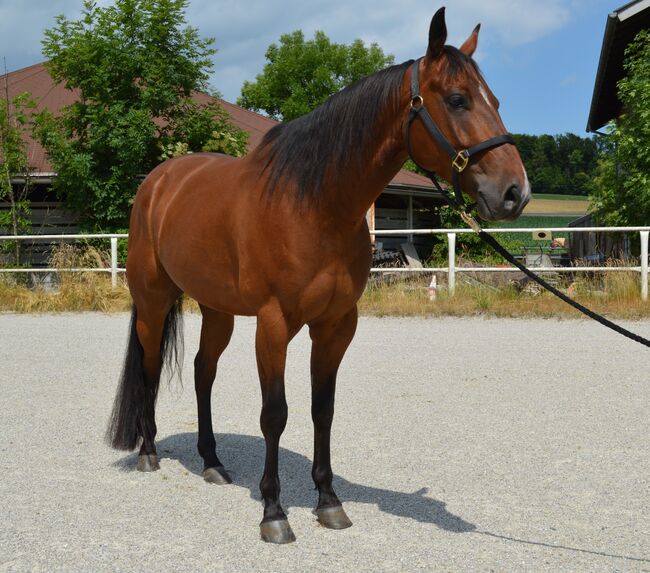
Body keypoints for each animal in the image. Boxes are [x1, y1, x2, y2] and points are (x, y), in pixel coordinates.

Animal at [107, 8, 528, 544]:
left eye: (495, 100)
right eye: (457, 99)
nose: (515, 192)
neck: (315, 205)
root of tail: (158, 183)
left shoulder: (335, 325)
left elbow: (321, 410)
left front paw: (328, 501)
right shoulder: (274, 324)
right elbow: (275, 414)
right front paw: (274, 512)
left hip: (217, 308)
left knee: (204, 371)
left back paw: (212, 462)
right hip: (154, 300)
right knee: (149, 367)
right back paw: (148, 452)